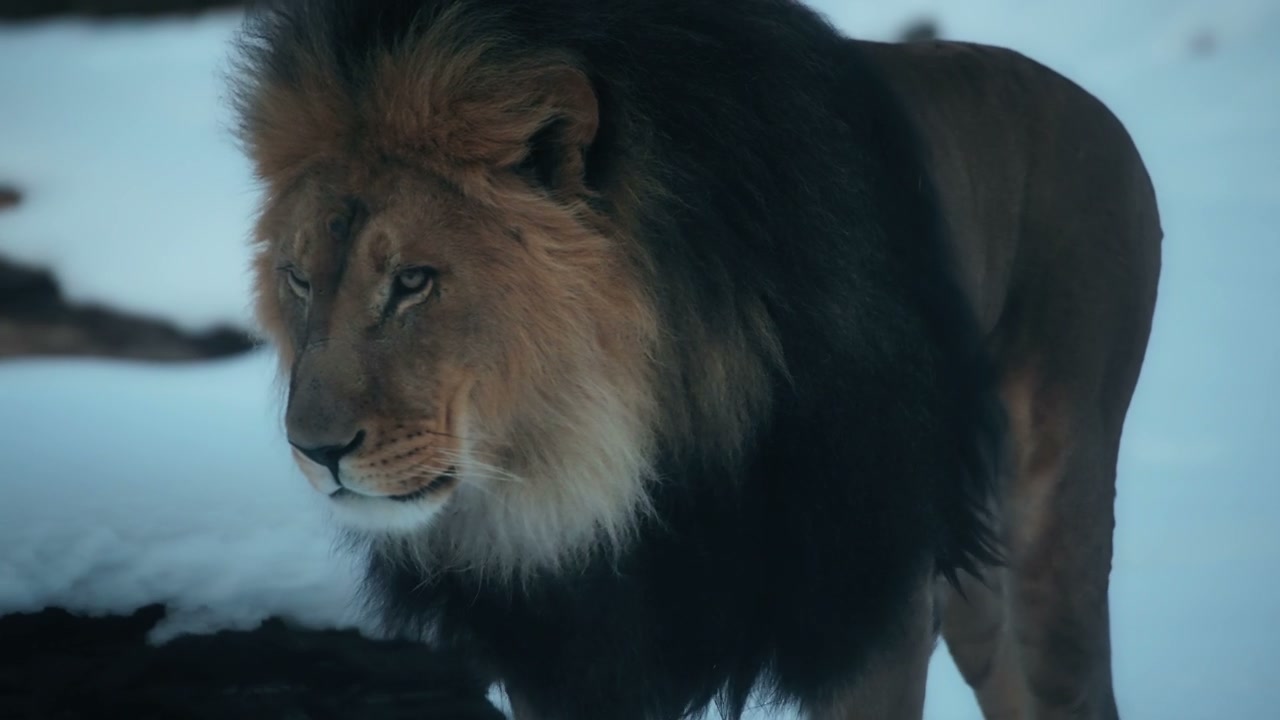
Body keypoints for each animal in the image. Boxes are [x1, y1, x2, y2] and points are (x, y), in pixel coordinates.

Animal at [231, 1, 1161, 719]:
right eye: (299, 279)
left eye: (414, 281)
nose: (315, 450)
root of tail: (1094, 108)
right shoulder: (568, 642)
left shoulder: (870, 598)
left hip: (1054, 514)